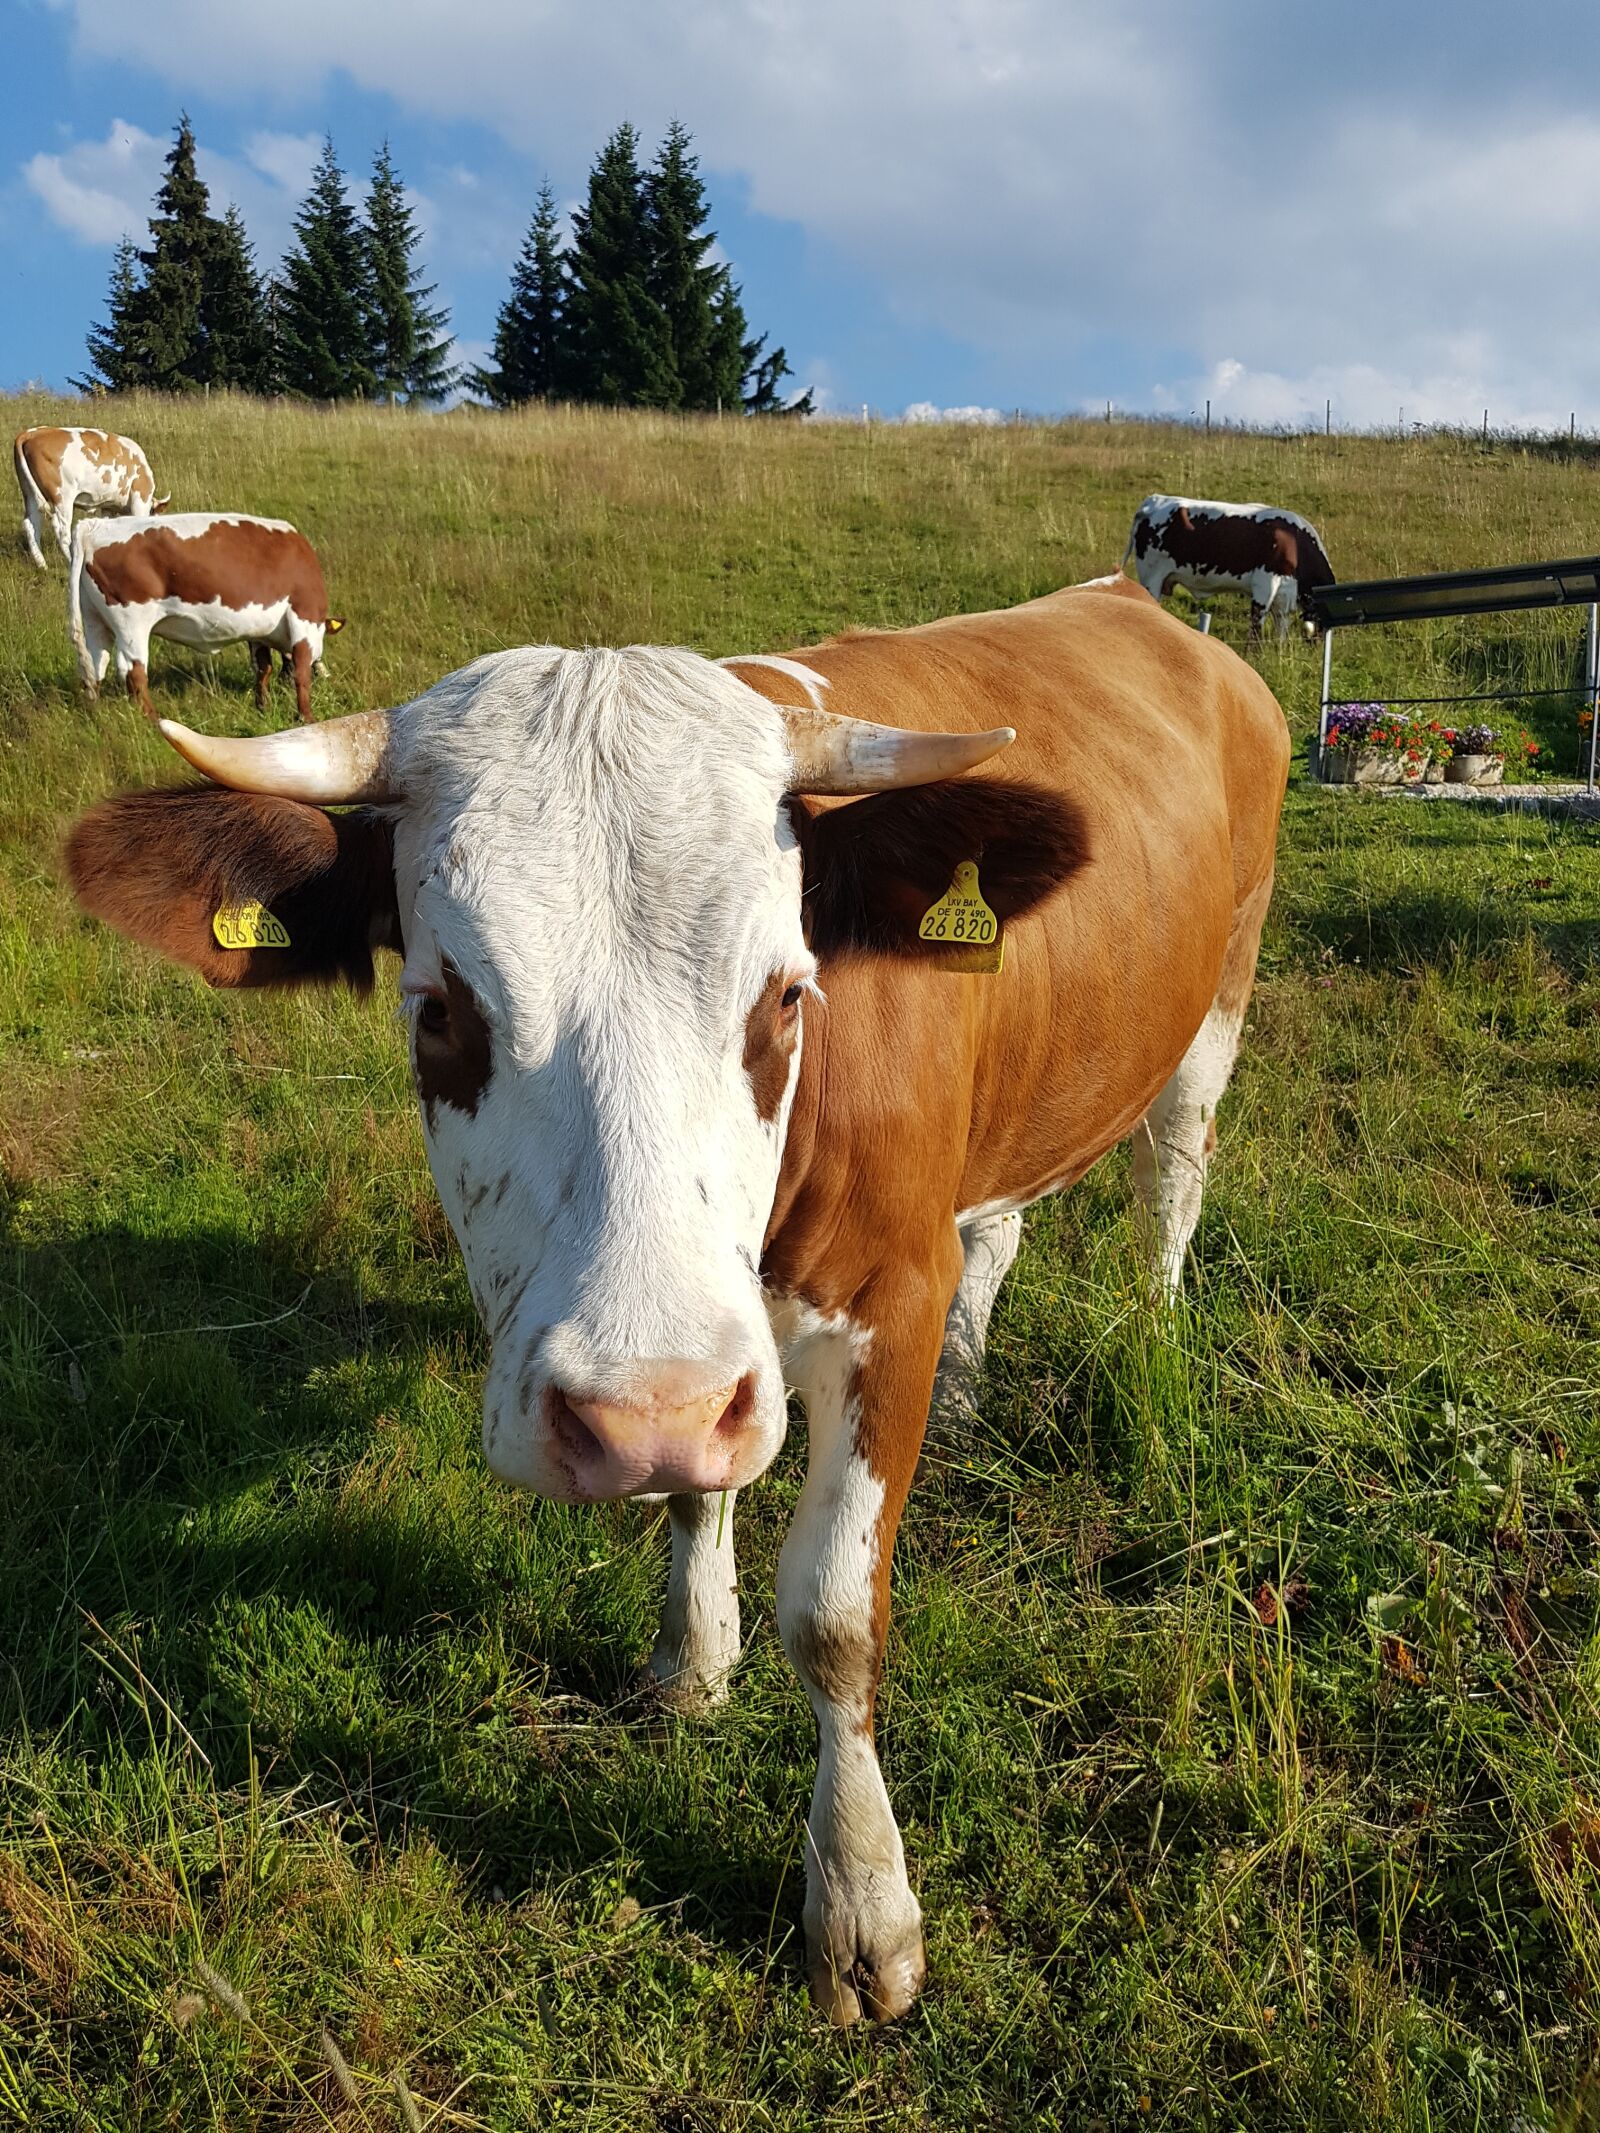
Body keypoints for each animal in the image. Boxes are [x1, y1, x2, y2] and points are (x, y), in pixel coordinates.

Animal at [14, 425, 168, 570]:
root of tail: (32, 433)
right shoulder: (140, 497)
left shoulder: (108, 507)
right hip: (63, 497)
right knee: (62, 532)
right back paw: (71, 561)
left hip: (29, 493)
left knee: (32, 525)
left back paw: (42, 565)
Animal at [64, 575, 1290, 2024]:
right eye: (440, 1013)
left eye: (786, 995)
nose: (629, 1420)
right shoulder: (713, 1353)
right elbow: (705, 1480)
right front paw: (696, 1651)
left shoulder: (892, 1301)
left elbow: (833, 1614)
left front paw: (860, 1902)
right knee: (1003, 1218)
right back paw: (975, 1386)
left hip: (1217, 1003)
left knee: (1172, 1177)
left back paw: (1149, 1352)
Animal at [70, 513, 344, 724]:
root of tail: (95, 525)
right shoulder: (304, 618)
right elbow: (301, 673)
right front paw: (307, 718)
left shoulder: (259, 633)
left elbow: (262, 668)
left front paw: (263, 708)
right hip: (131, 623)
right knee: (133, 671)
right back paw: (154, 720)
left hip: (95, 621)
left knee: (95, 667)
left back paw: (95, 712)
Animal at [1124, 493, 1334, 643]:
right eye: (1322, 625)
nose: (1318, 646)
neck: (1295, 542)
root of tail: (1155, 499)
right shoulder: (1265, 583)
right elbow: (1256, 624)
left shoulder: (1284, 593)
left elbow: (1281, 627)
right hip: (1151, 578)